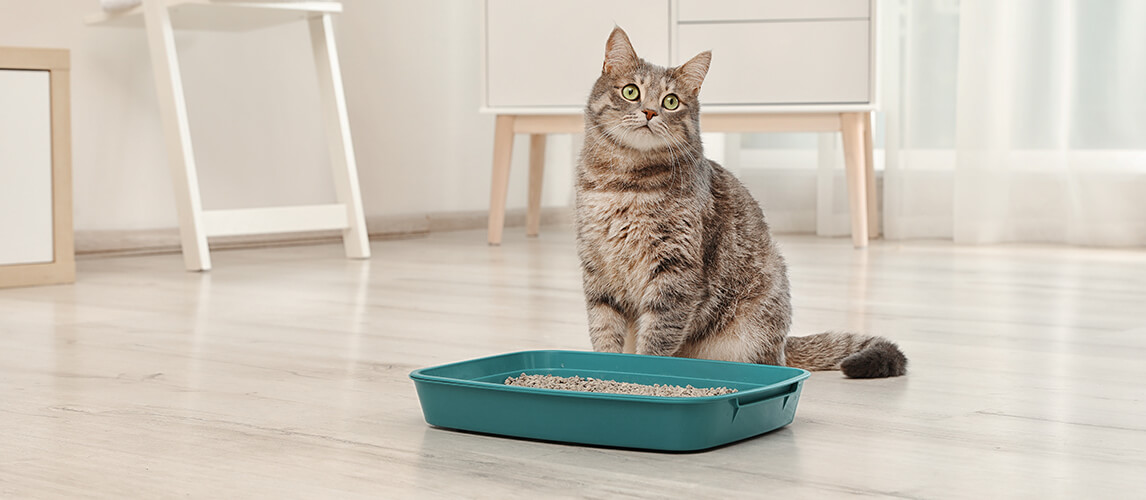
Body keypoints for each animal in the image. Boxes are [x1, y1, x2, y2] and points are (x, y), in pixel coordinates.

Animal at [577, 27, 907, 376]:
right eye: (631, 92)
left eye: (671, 101)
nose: (650, 112)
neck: (623, 184)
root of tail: (784, 344)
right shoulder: (598, 273)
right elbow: (604, 332)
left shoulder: (676, 274)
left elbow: (657, 338)